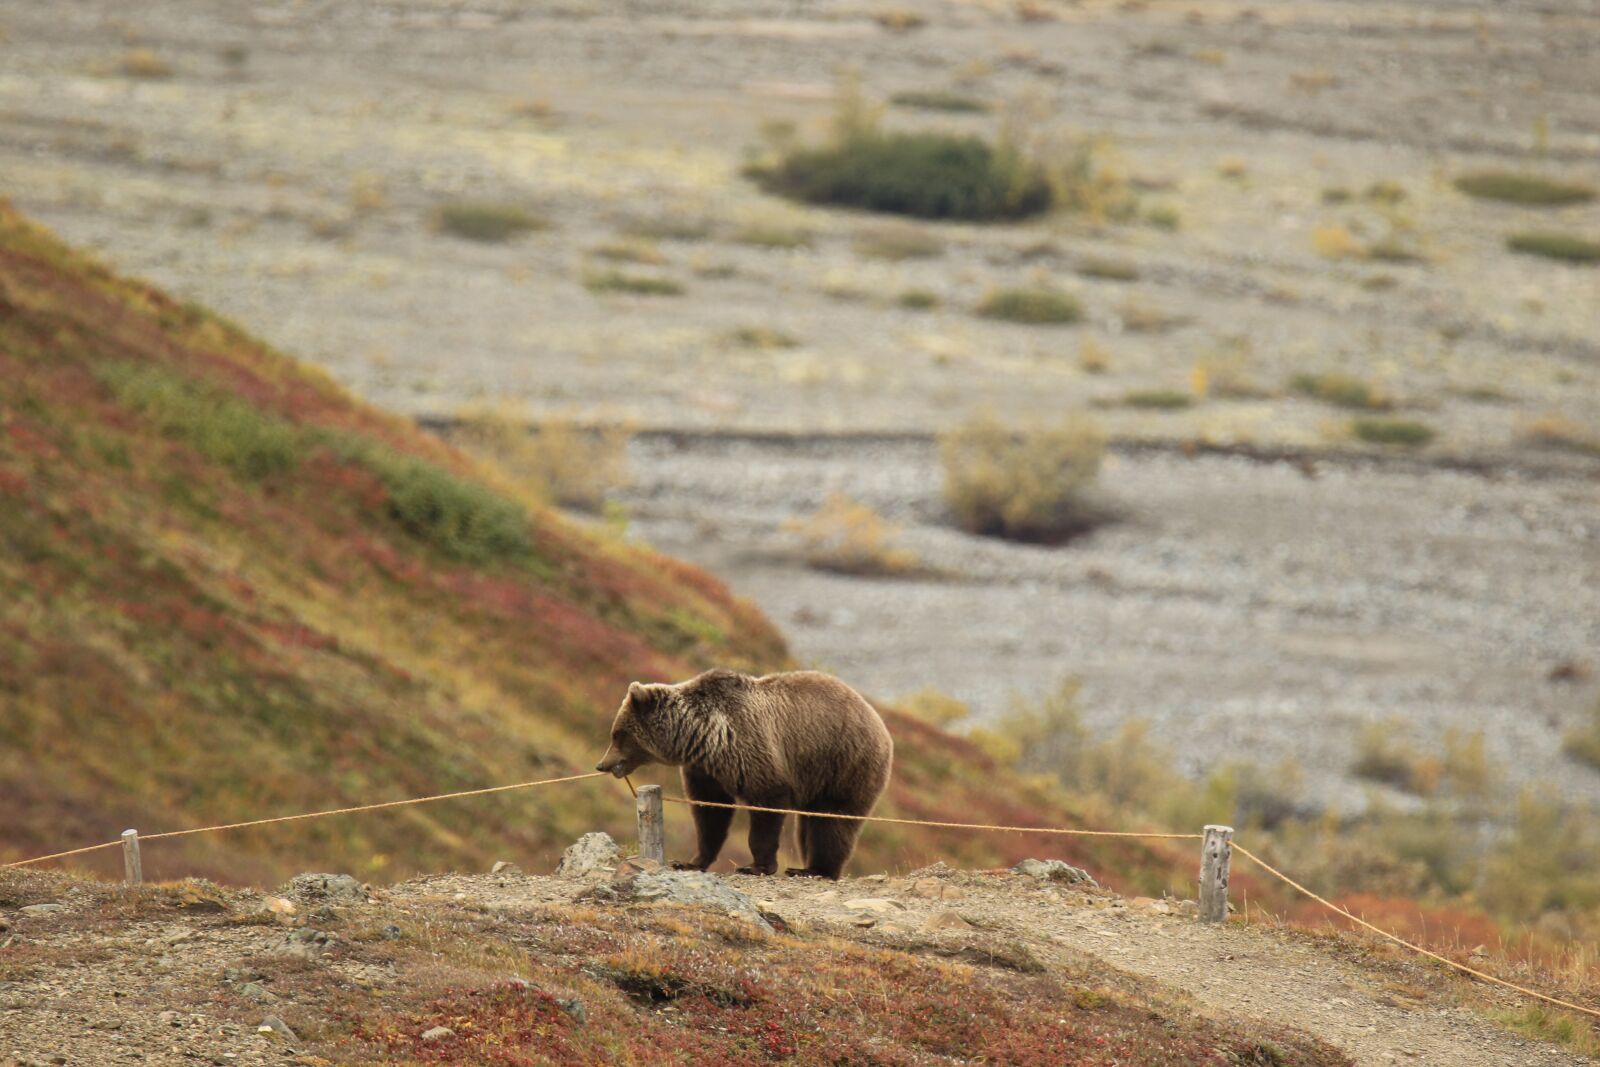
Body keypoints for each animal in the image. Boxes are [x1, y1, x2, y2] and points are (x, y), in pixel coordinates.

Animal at [595, 669, 893, 880]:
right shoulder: (706, 772)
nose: (602, 764)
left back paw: (815, 869)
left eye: (617, 734)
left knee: (833, 820)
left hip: (843, 764)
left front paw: (756, 865)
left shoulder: (754, 755)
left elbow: (765, 810)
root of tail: (880, 724)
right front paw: (690, 861)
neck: (702, 737)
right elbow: (710, 814)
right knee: (808, 825)